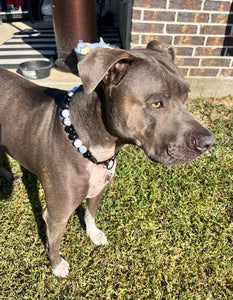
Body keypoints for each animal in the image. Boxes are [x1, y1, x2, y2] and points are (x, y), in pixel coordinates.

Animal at [0, 39, 215, 276]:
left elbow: (90, 214)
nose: (208, 142)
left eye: (186, 96)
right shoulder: (57, 214)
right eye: (157, 103)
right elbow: (54, 242)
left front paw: (93, 234)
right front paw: (57, 265)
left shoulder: (99, 187)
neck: (93, 146)